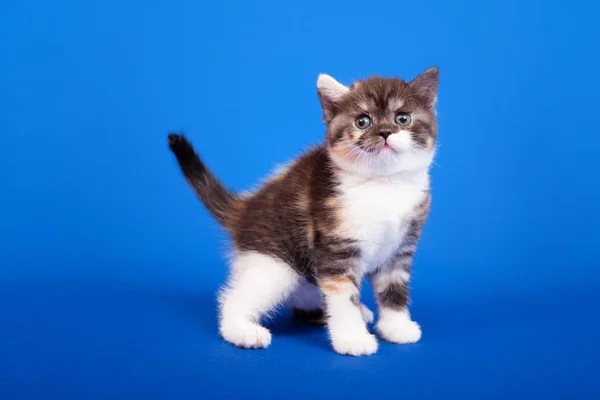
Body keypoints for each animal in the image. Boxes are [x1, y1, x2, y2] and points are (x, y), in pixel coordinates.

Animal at [166, 67, 438, 358]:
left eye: (403, 118)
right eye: (362, 122)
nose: (385, 132)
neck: (384, 185)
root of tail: (245, 208)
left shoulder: (400, 248)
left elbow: (394, 289)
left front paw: (396, 327)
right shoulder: (335, 247)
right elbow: (342, 296)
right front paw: (352, 338)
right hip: (275, 264)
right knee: (237, 297)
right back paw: (242, 330)